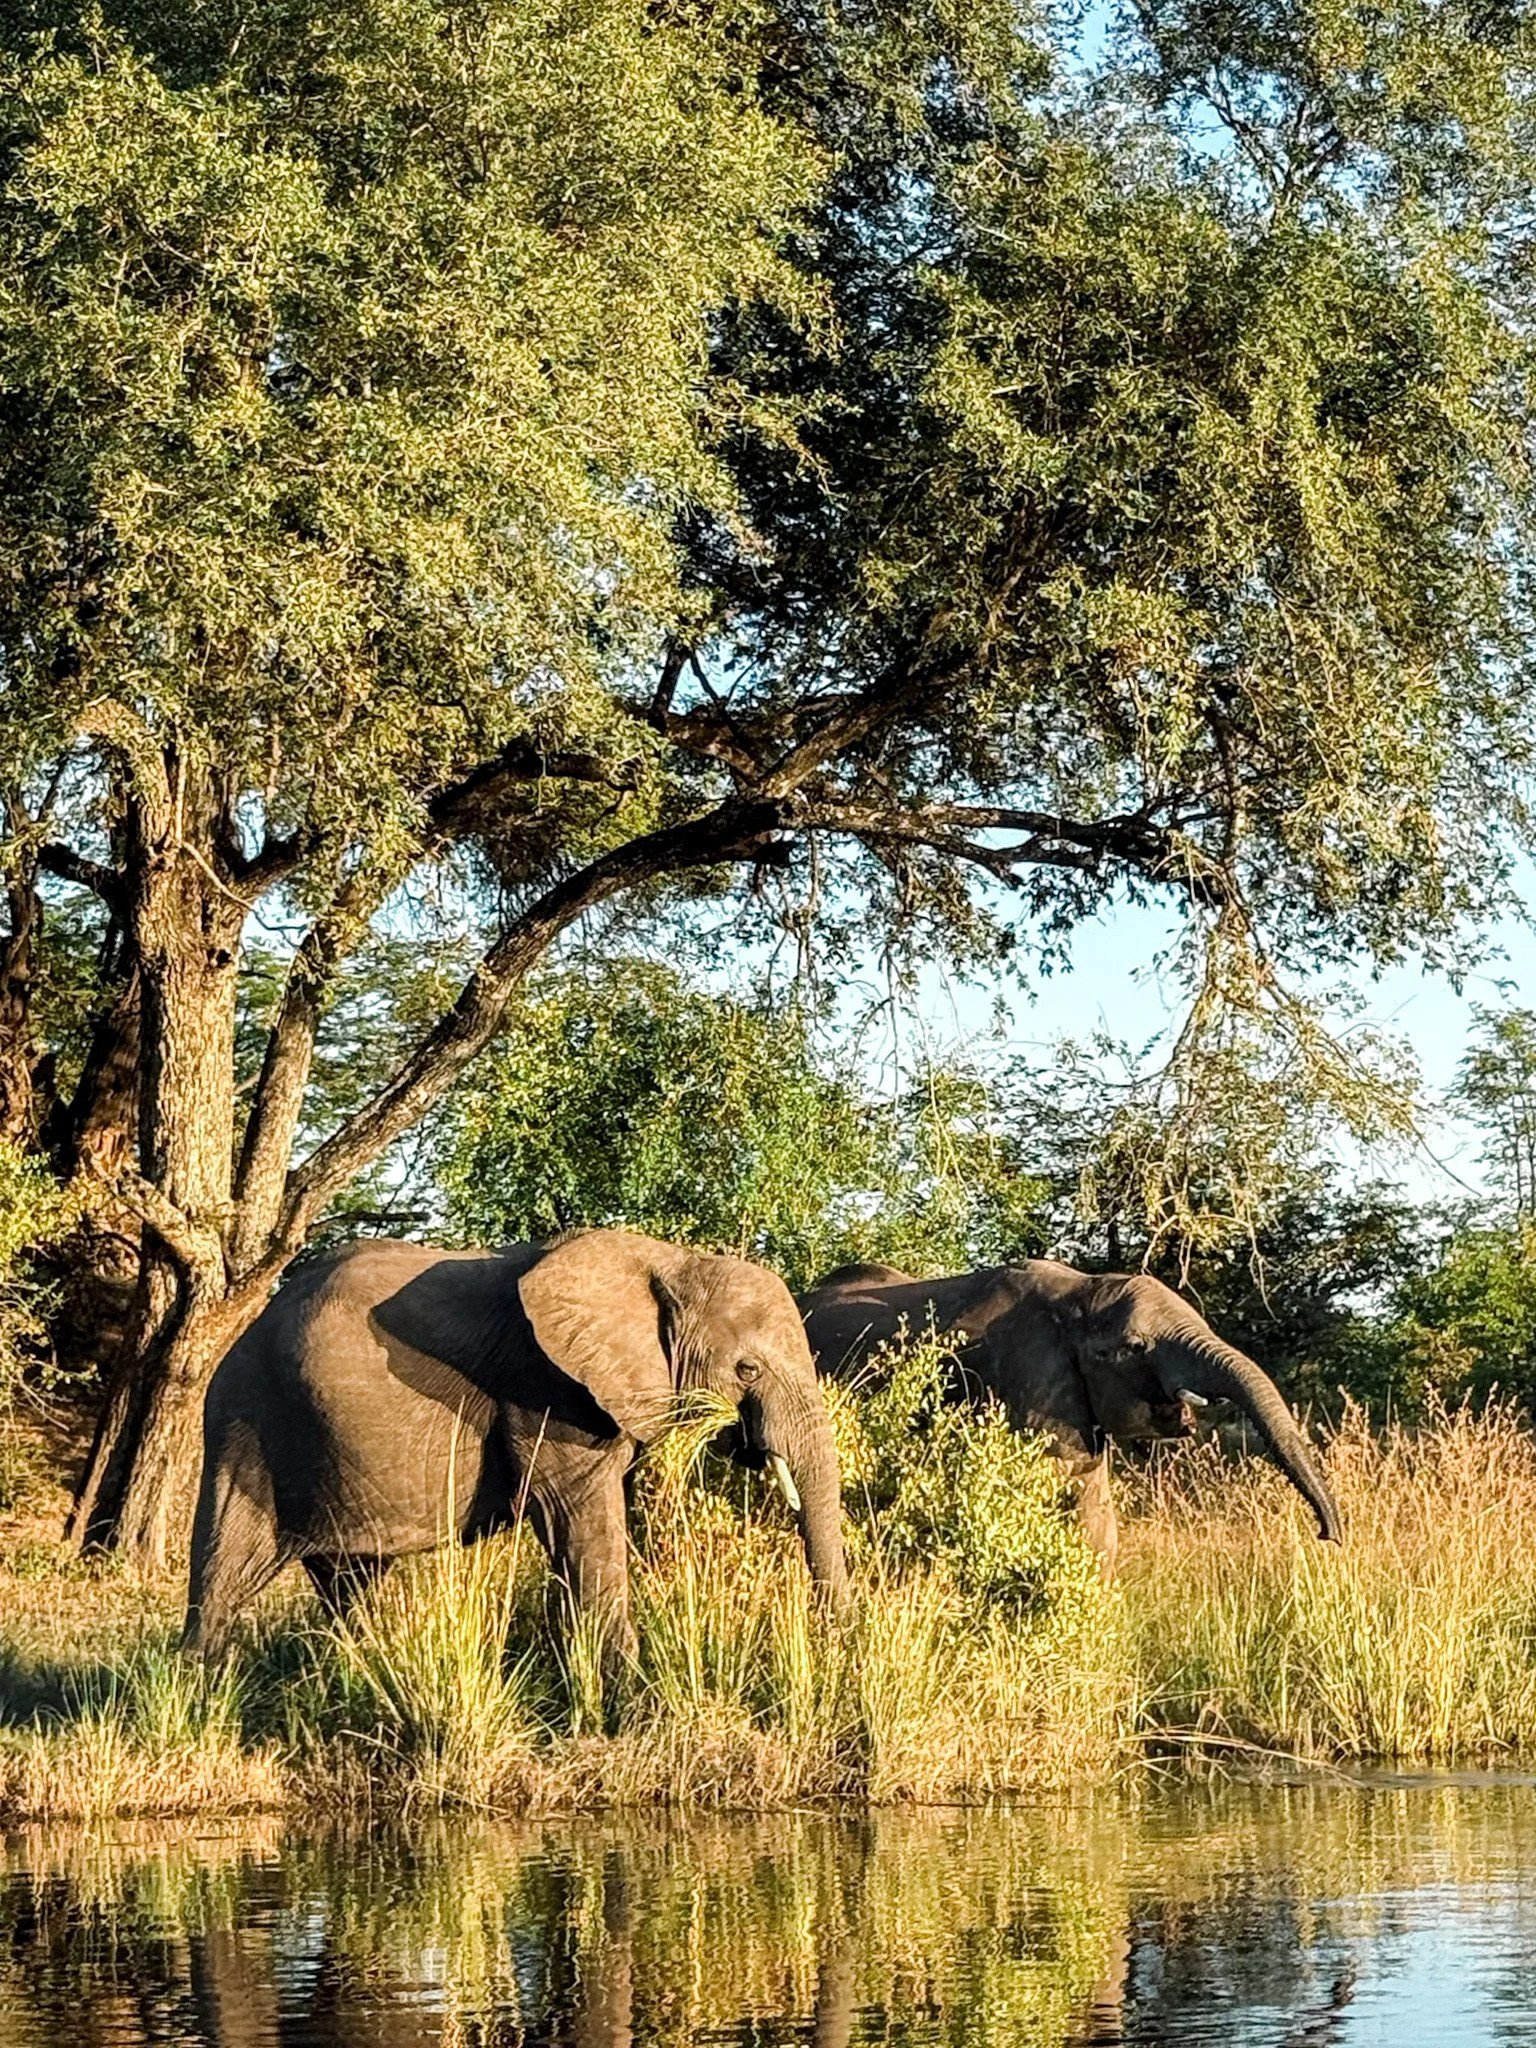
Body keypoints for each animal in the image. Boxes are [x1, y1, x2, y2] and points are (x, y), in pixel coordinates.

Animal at [184, 1227, 849, 1659]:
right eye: (747, 1370)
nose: (835, 1645)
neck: (672, 1261)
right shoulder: (545, 1389)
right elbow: (579, 1520)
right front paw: (630, 1714)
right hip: (246, 1421)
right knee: (225, 1566)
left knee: (351, 1583)